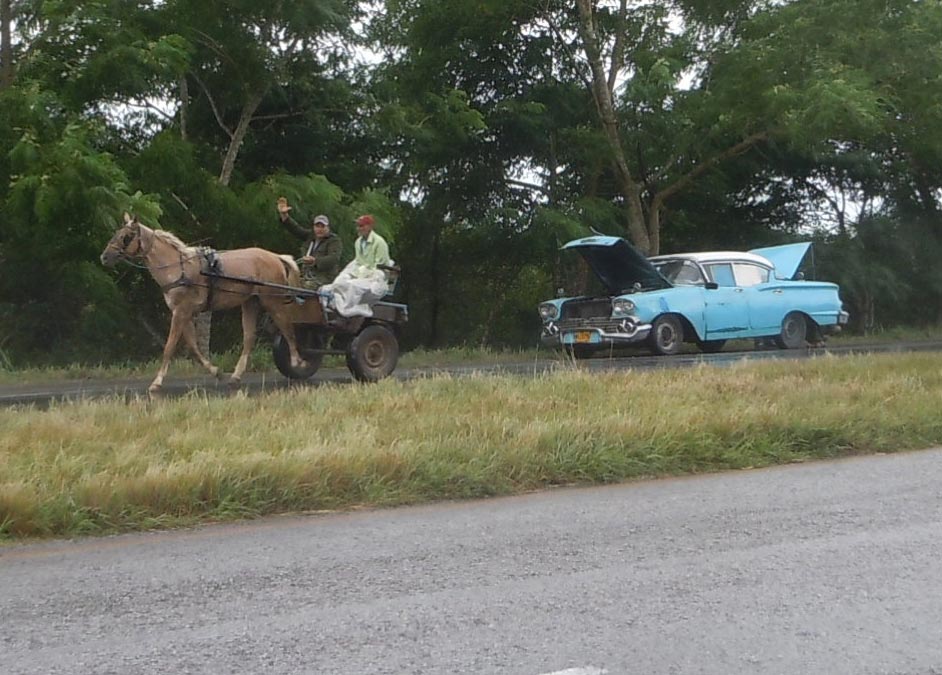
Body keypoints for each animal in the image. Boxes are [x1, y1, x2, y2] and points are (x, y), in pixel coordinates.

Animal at [100, 213, 308, 393]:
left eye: (126, 236)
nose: (104, 257)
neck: (178, 267)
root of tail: (276, 257)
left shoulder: (181, 312)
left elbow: (169, 346)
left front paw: (157, 381)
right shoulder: (184, 313)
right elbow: (193, 347)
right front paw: (216, 372)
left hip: (273, 302)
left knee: (287, 329)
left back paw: (298, 362)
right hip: (250, 302)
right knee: (249, 338)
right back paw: (236, 376)